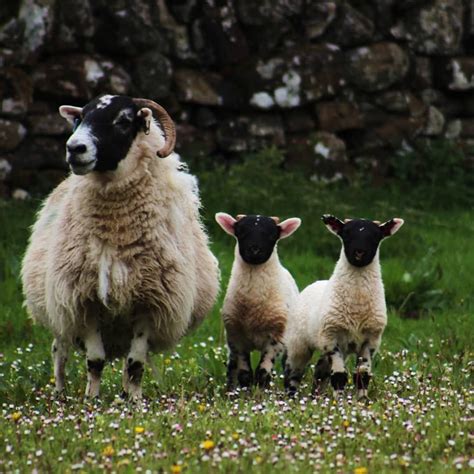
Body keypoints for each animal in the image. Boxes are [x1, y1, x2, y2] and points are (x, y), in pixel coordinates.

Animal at [21, 93, 221, 400]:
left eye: (123, 121)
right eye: (80, 118)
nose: (74, 148)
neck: (117, 231)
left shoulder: (150, 304)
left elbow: (135, 363)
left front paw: (135, 401)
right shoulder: (84, 300)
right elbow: (95, 361)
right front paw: (92, 399)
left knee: (126, 361)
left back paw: (125, 393)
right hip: (59, 309)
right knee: (59, 350)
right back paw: (60, 392)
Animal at [215, 214, 300, 388]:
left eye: (272, 235)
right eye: (241, 232)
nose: (254, 249)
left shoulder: (276, 338)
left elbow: (263, 372)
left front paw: (262, 390)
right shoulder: (237, 337)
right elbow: (244, 374)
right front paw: (244, 392)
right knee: (231, 367)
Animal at [286, 214, 404, 396]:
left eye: (376, 236)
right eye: (346, 234)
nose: (359, 252)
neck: (357, 305)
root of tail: (315, 283)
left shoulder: (371, 340)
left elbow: (362, 375)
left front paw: (361, 400)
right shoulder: (332, 337)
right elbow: (339, 376)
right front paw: (339, 400)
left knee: (320, 371)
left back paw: (316, 396)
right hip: (298, 342)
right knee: (293, 372)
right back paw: (289, 396)